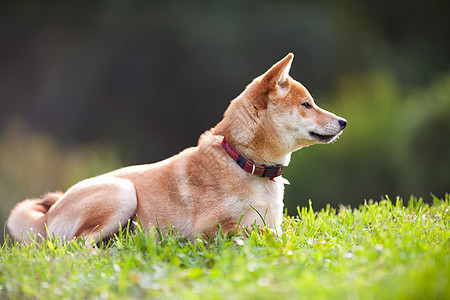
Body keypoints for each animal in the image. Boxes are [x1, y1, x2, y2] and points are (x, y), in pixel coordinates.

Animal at [7, 54, 348, 244]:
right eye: (307, 105)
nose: (344, 121)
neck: (243, 160)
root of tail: (47, 216)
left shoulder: (271, 220)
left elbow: (282, 230)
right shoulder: (211, 229)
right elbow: (258, 234)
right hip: (122, 193)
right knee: (75, 248)